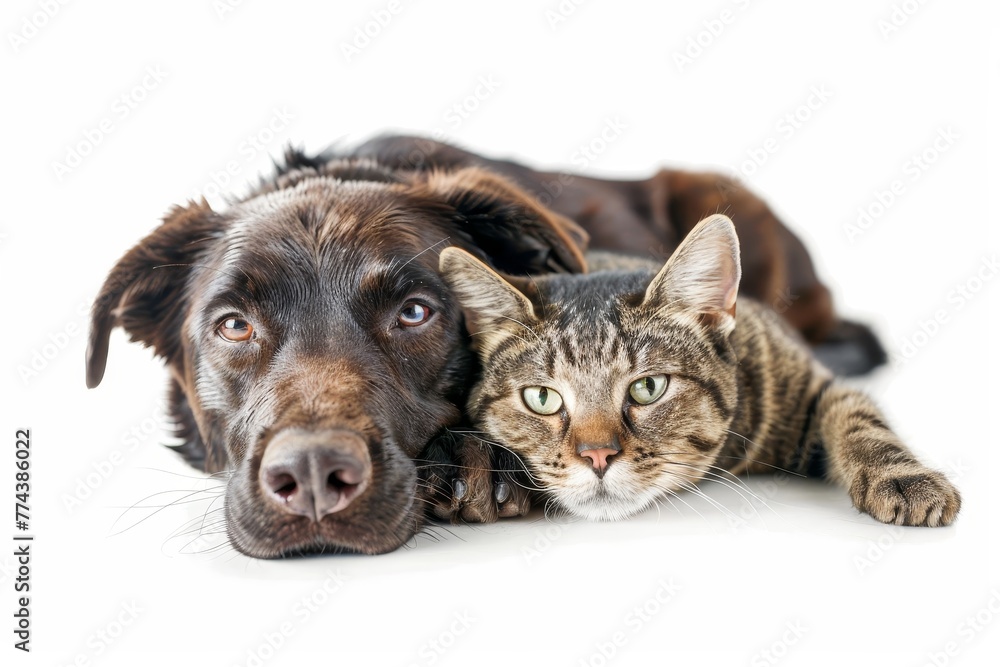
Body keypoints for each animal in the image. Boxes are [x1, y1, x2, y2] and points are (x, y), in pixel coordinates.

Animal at [436, 214, 960, 528]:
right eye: (541, 398)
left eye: (648, 388)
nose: (598, 456)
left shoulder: (810, 380)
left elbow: (859, 419)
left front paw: (905, 478)